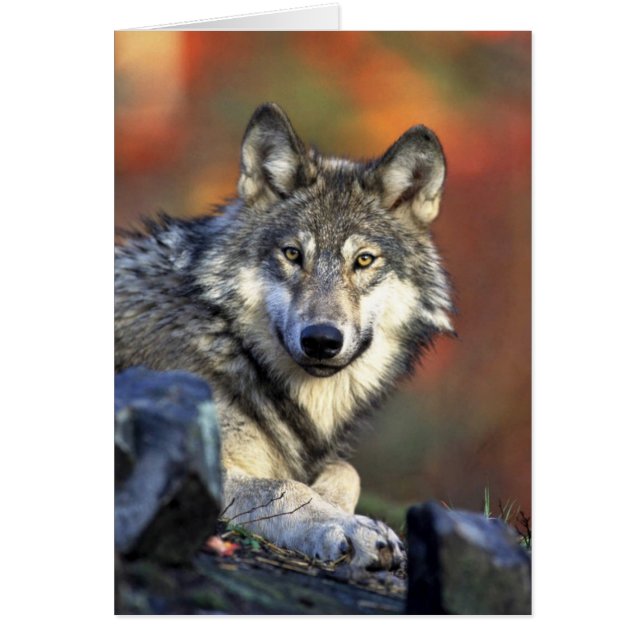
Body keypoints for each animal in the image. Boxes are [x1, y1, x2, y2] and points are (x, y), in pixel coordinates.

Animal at [115, 103, 453, 571]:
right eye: (293, 254)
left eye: (364, 260)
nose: (321, 340)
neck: (231, 343)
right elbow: (284, 488)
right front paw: (350, 527)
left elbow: (346, 472)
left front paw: (334, 503)